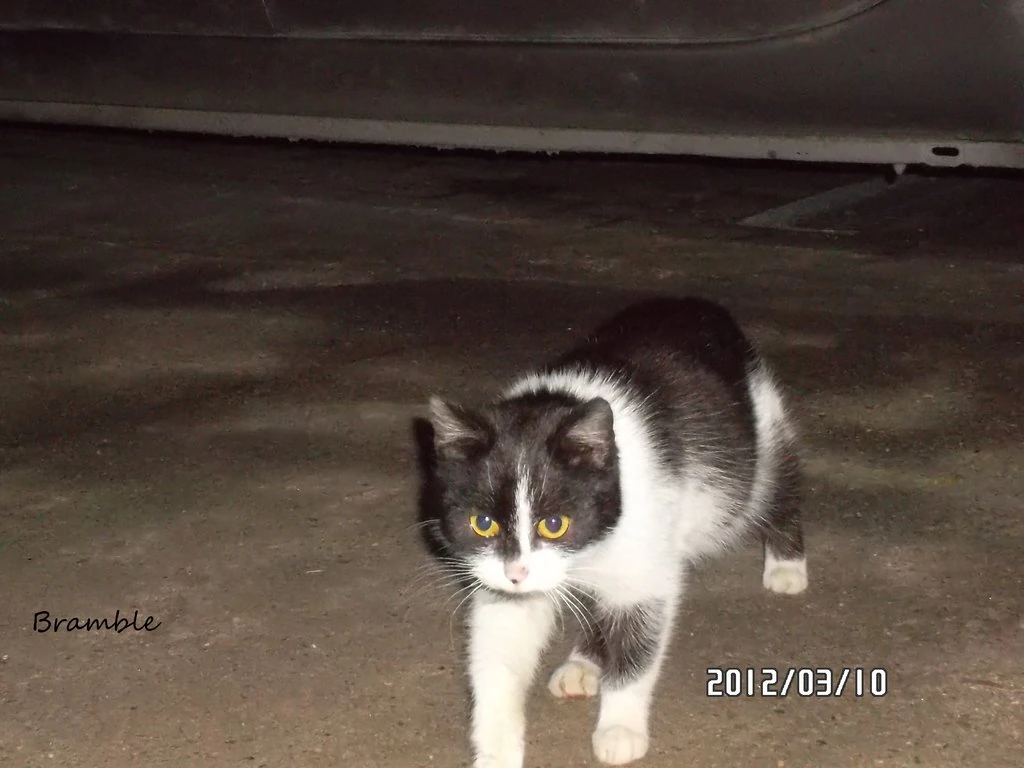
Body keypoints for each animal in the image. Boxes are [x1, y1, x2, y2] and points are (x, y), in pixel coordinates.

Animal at [422, 296, 807, 768]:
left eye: (555, 525)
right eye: (483, 523)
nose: (517, 574)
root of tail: (696, 304)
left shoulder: (646, 552)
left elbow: (638, 637)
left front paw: (620, 726)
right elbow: (501, 645)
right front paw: (496, 749)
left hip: (760, 431)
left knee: (777, 480)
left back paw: (787, 564)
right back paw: (582, 663)